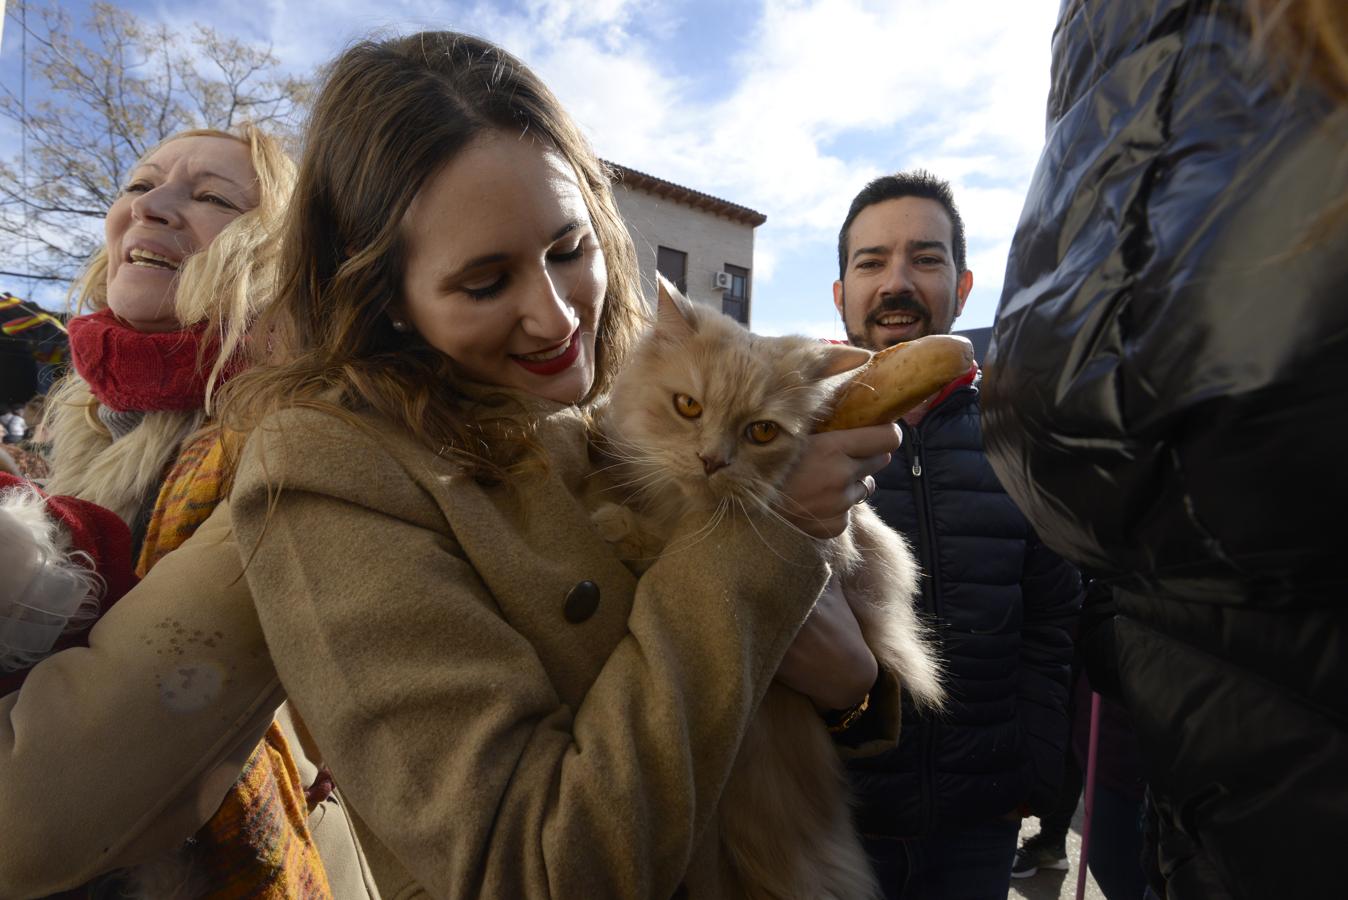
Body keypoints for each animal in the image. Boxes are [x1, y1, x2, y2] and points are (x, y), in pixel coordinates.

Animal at [590, 277, 948, 894]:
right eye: (688, 407)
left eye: (762, 432)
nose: (711, 460)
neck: (687, 510)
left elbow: (665, 545)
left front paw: (618, 526)